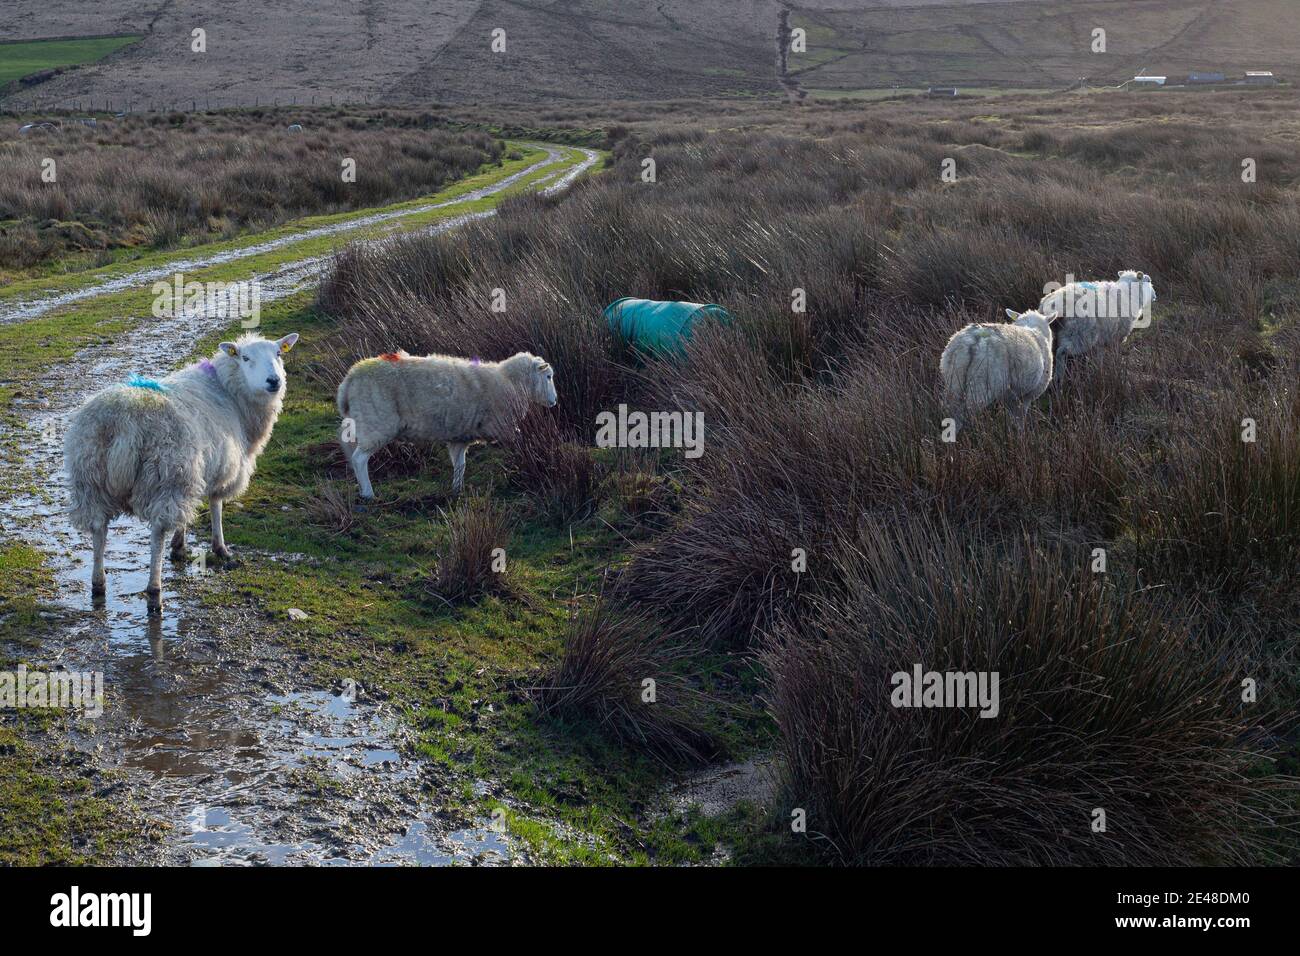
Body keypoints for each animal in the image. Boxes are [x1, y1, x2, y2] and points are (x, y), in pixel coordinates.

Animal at [63, 329, 299, 613]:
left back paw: (98, 583)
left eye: (278, 354)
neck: (228, 392)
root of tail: (123, 421)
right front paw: (219, 548)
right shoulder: (220, 467)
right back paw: (155, 591)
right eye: (245, 358)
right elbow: (215, 504)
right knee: (157, 532)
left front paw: (180, 545)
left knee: (99, 528)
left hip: (90, 479)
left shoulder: (197, 472)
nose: (274, 381)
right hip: (167, 475)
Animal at [338, 351, 556, 502]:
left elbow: (460, 465)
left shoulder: (460, 437)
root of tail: (349, 379)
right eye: (548, 377)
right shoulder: (504, 427)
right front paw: (531, 460)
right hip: (376, 422)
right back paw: (368, 494)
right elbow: (521, 443)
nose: (554, 401)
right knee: (359, 459)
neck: (511, 382)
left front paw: (456, 490)